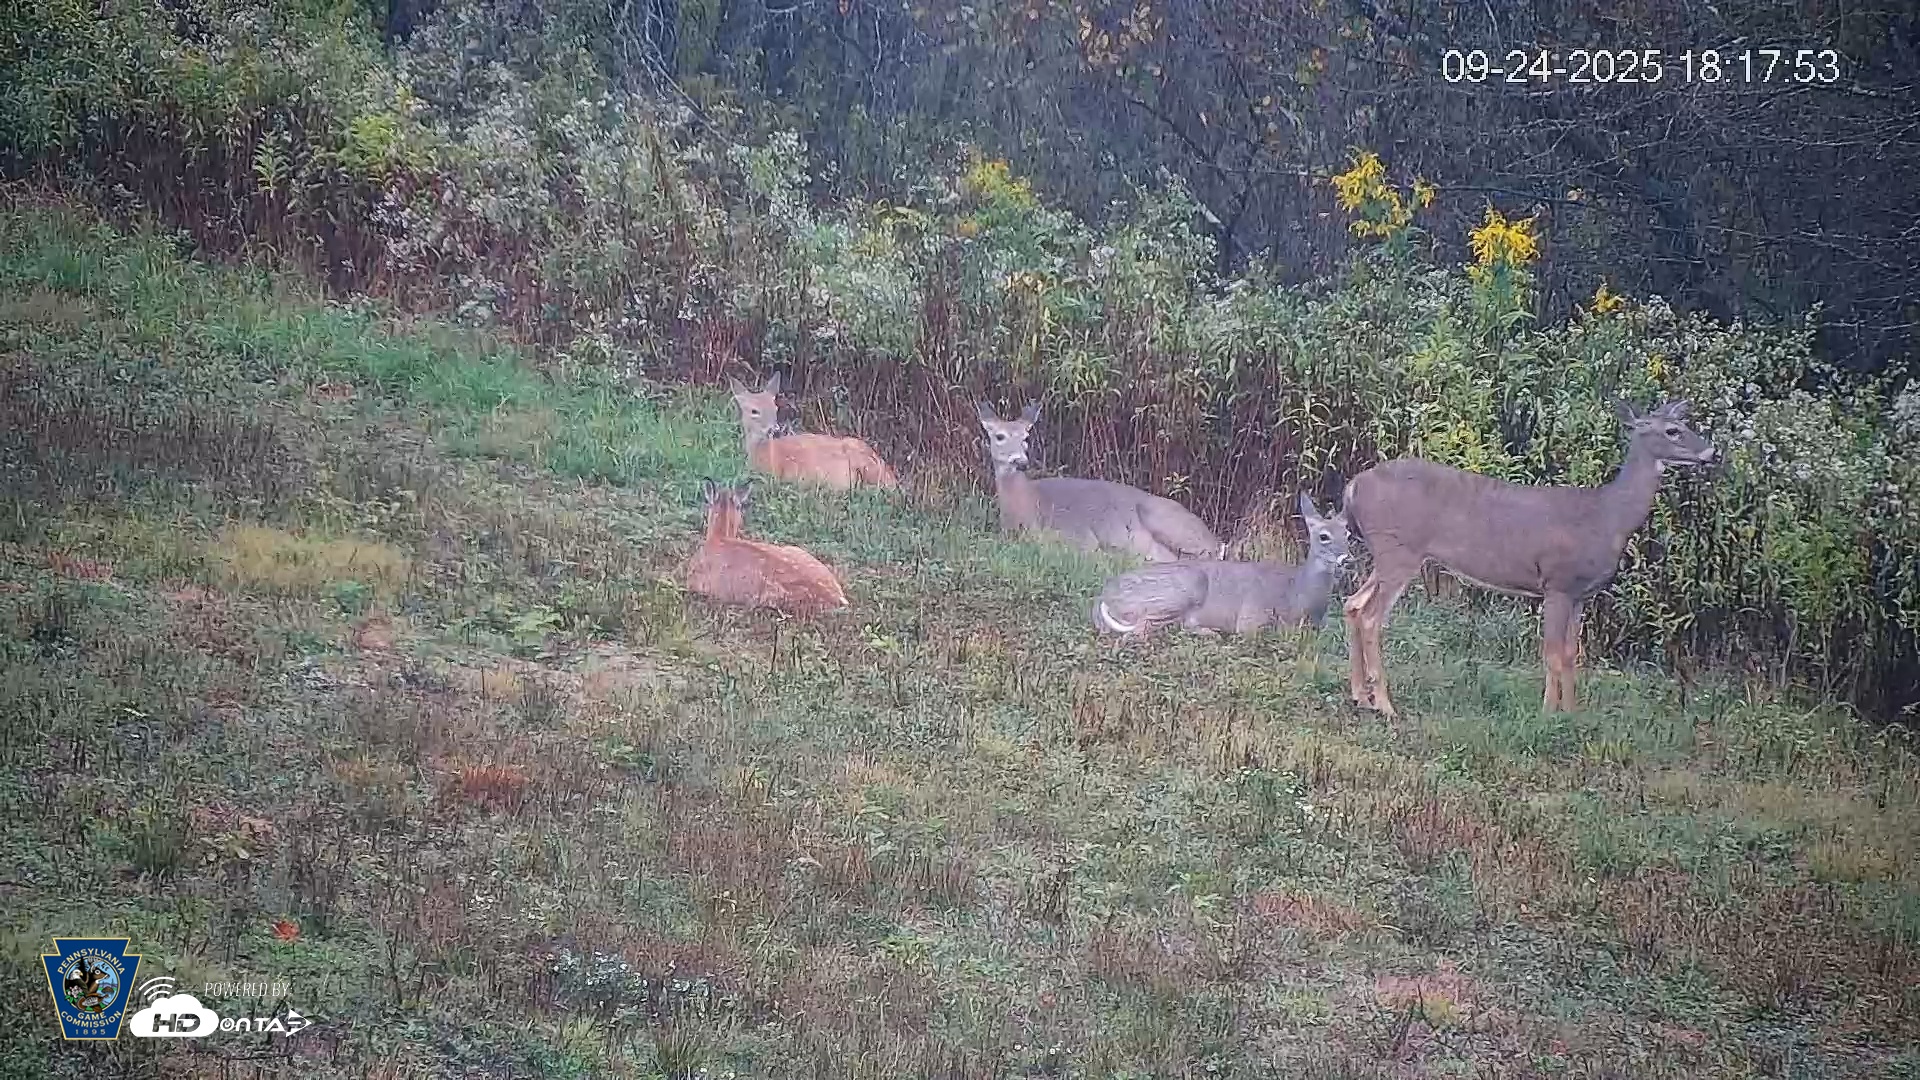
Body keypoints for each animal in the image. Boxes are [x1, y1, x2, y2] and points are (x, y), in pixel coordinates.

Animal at [1092, 491, 1352, 637]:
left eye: (1348, 534)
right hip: (1183, 587)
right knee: (1139, 630)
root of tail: (1106, 597)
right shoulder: (1251, 617)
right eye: (1324, 536)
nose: (1346, 558)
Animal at [1342, 399, 1717, 718]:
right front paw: (1548, 713)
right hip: (1399, 550)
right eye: (1673, 430)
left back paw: (1361, 696)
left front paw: (1572, 713)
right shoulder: (1557, 582)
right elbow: (1552, 653)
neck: (1606, 518)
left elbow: (1570, 654)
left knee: (1353, 603)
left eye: (1685, 424)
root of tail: (1353, 486)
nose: (1712, 452)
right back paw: (1386, 705)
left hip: (1386, 554)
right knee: (1372, 616)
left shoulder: (1580, 593)